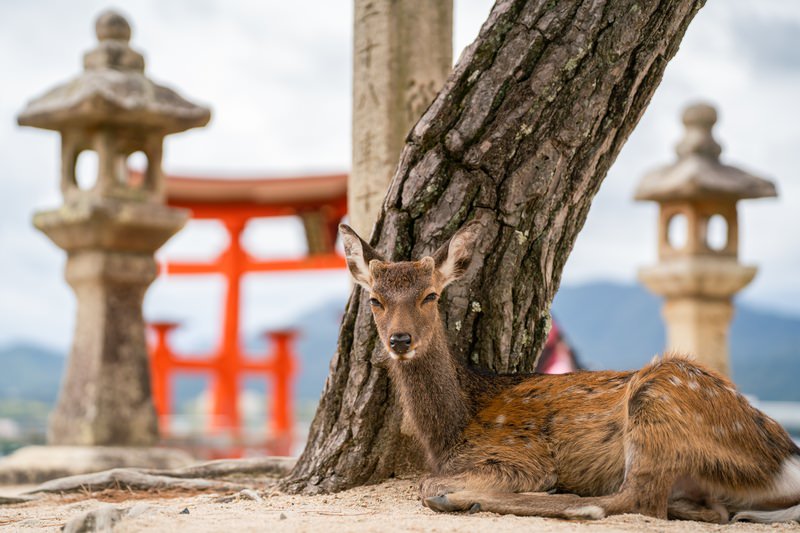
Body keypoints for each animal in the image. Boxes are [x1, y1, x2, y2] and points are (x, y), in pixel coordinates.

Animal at [340, 220, 800, 524]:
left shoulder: (518, 454)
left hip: (658, 396)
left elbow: (428, 483)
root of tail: (786, 459)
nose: (400, 340)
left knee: (636, 501)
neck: (452, 428)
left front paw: (457, 491)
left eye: (431, 296)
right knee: (709, 509)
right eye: (376, 300)